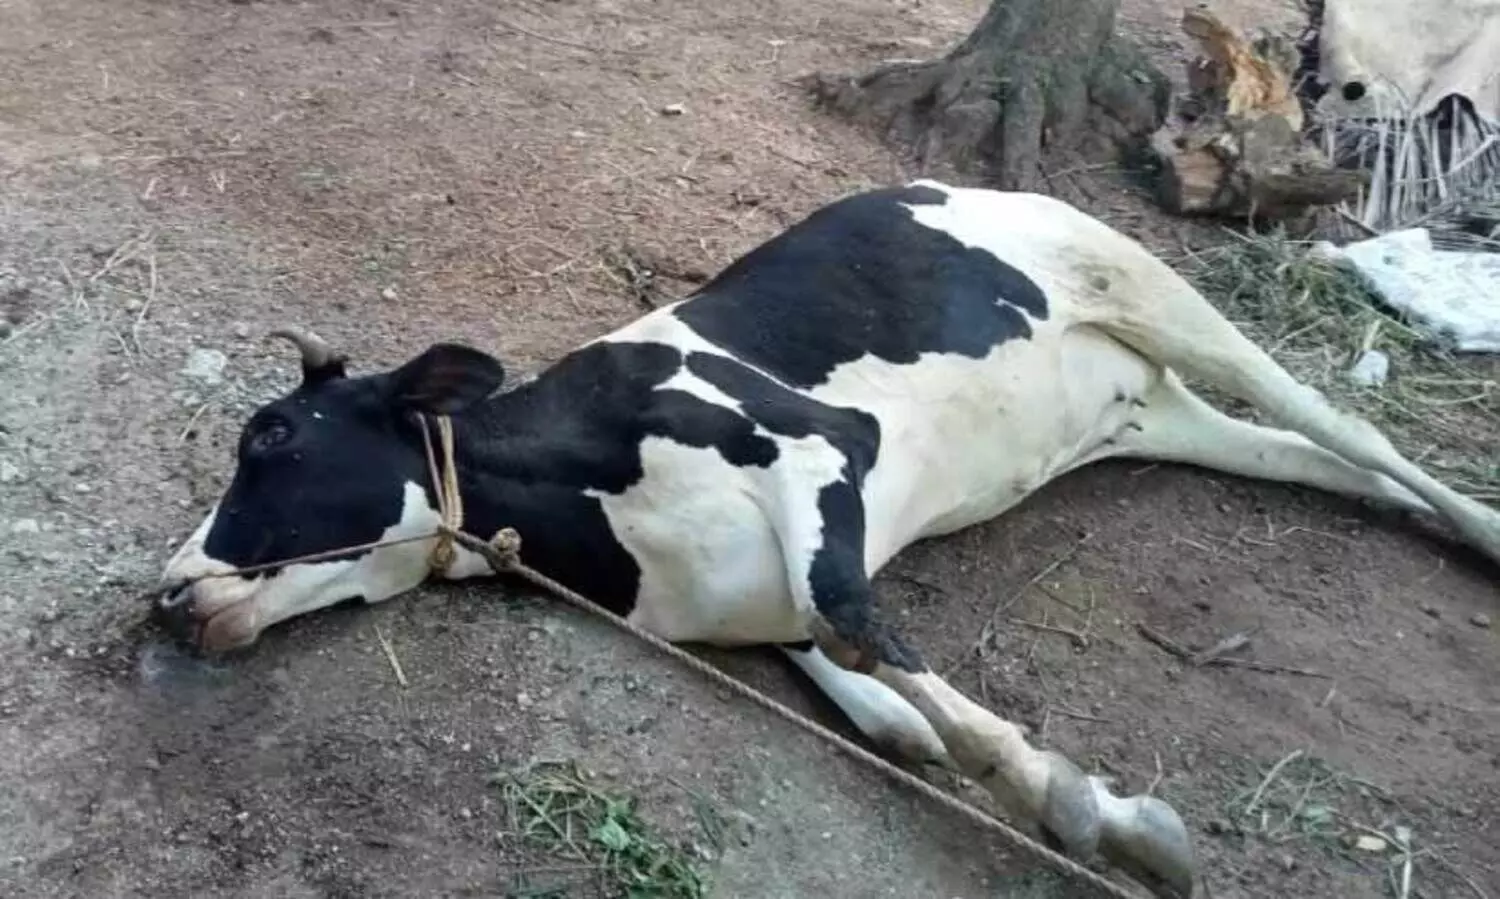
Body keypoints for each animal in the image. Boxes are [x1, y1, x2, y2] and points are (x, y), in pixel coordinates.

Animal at [154, 180, 1500, 898]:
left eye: (269, 433)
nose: (166, 594)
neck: (606, 536)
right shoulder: (754, 599)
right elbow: (874, 691)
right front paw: (973, 752)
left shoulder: (824, 446)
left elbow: (851, 613)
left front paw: (1092, 811)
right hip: (1152, 413)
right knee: (1322, 460)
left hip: (1155, 292)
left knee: (1348, 426)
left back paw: (1478, 526)